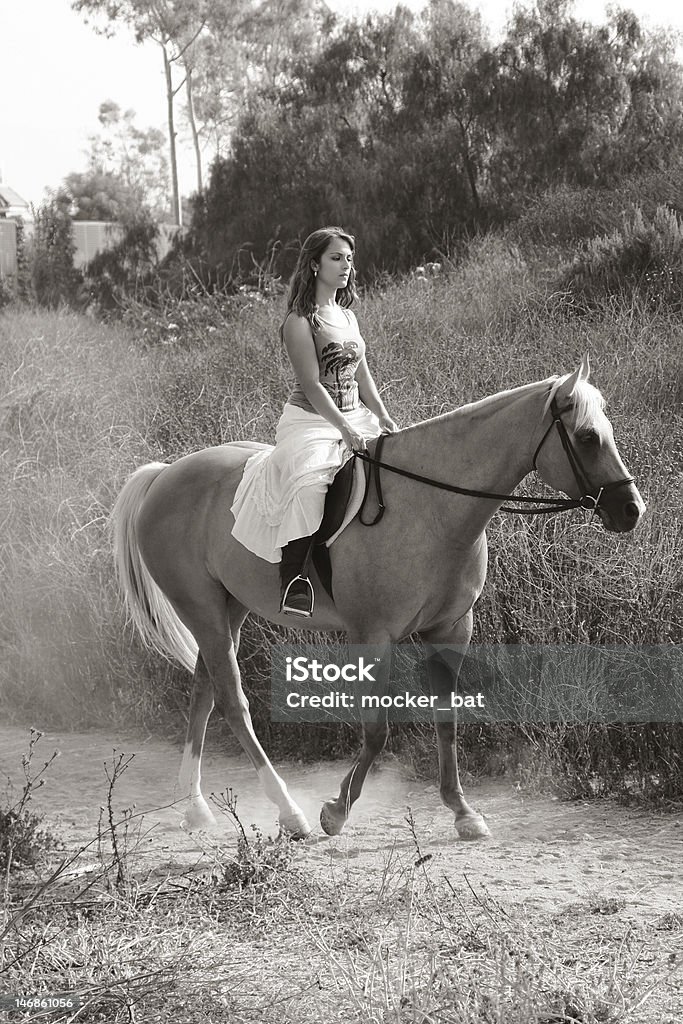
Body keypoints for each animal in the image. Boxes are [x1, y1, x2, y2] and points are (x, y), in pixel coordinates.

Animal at [112, 360, 647, 839]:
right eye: (587, 438)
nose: (631, 510)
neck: (431, 507)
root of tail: (165, 474)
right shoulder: (374, 635)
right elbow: (377, 729)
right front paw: (336, 810)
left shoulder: (452, 629)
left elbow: (447, 720)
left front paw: (462, 812)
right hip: (201, 607)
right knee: (230, 699)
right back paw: (289, 812)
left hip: (229, 606)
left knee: (203, 691)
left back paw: (196, 808)